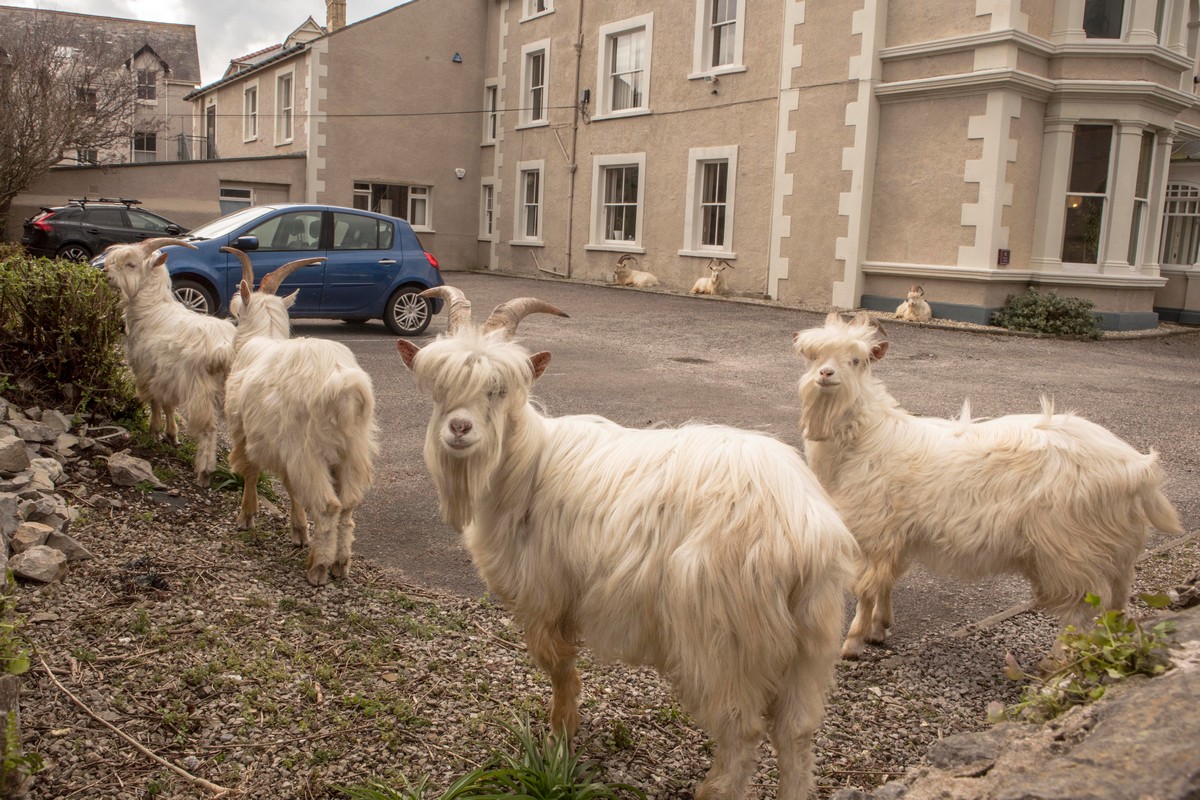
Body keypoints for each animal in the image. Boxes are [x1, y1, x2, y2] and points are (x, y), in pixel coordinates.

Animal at [103, 237, 236, 489]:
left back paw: (204, 472)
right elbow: (168, 404)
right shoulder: (167, 376)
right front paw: (172, 435)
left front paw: (155, 432)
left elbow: (155, 401)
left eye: (131, 264)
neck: (152, 309)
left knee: (209, 429)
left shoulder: (147, 370)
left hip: (201, 391)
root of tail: (227, 349)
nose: (105, 275)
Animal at [220, 247, 376, 585]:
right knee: (348, 505)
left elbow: (252, 471)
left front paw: (246, 516)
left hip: (309, 449)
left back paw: (318, 567)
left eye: (236, 313)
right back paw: (340, 563)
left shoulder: (248, 431)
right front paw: (300, 531)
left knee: (329, 506)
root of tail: (344, 384)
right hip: (353, 451)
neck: (261, 339)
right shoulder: (282, 447)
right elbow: (292, 488)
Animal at [398, 286, 859, 800]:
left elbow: (559, 668)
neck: (525, 463)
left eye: (499, 390)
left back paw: (711, 788)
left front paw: (561, 735)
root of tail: (804, 529)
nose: (459, 429)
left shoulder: (545, 597)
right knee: (796, 733)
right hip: (810, 642)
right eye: (439, 390)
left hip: (721, 641)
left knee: (742, 732)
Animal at [792, 314, 1185, 662]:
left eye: (856, 360)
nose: (826, 375)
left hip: (1070, 549)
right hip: (1118, 551)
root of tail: (1137, 467)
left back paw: (1055, 662)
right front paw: (880, 628)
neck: (868, 437)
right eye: (813, 357)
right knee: (1117, 603)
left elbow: (864, 588)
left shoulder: (875, 530)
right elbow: (886, 582)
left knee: (1080, 607)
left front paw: (853, 642)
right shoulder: (897, 534)